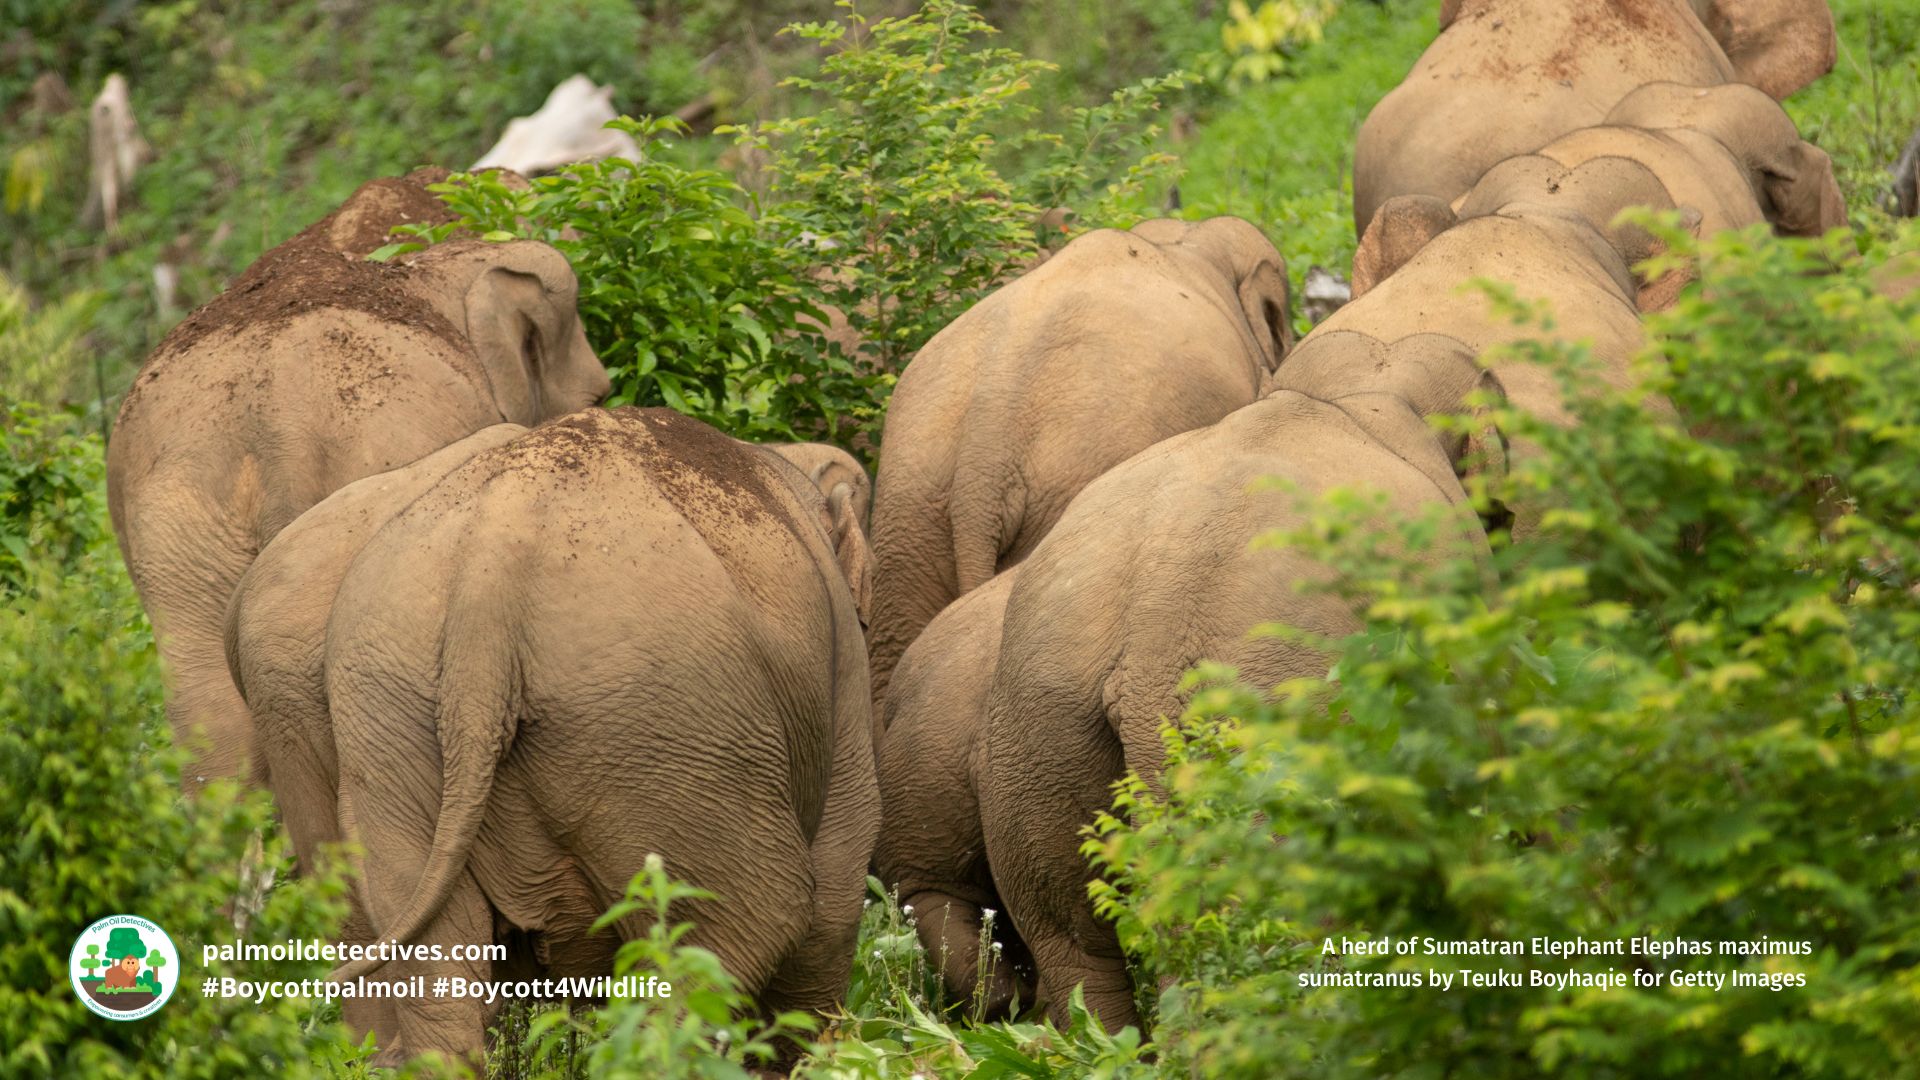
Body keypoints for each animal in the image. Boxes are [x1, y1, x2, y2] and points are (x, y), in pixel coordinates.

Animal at [225, 417, 871, 1058]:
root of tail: (484, 589)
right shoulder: (843, 673)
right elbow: (835, 892)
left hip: (385, 707)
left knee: (432, 963)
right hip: (658, 711)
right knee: (739, 931)